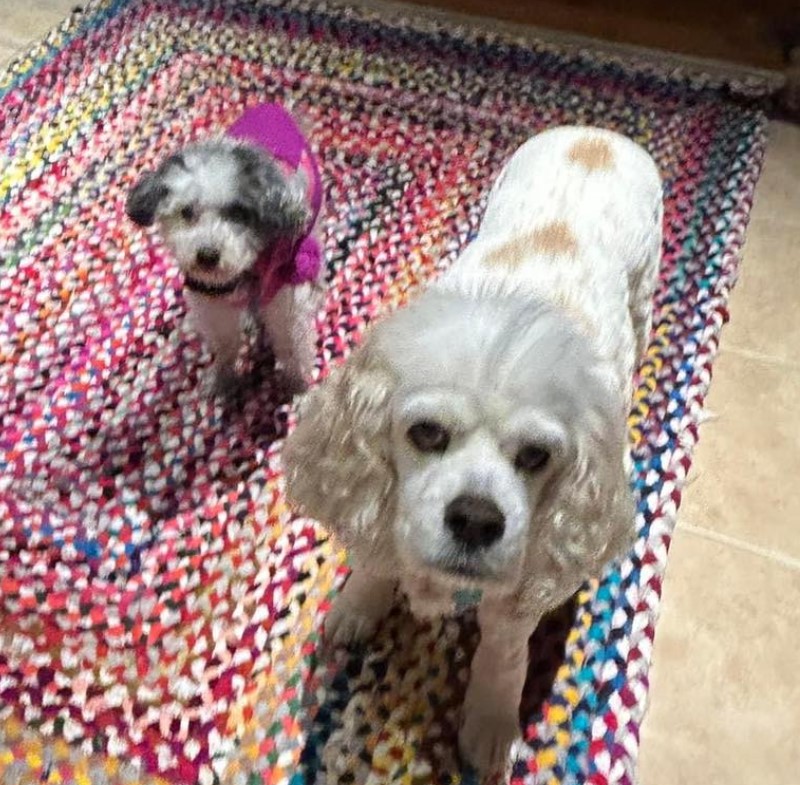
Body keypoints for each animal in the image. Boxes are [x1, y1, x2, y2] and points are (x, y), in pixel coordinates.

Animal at [126, 103, 324, 396]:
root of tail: (272, 106)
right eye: (187, 212)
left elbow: (291, 344)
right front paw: (222, 379)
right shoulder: (213, 299)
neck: (248, 270)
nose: (207, 256)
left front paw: (296, 387)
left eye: (239, 213)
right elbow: (225, 342)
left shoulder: (286, 293)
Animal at [284, 125, 660, 776]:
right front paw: (359, 605)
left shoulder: (520, 592)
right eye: (426, 433)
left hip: (644, 281)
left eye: (536, 455)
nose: (477, 520)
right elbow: (378, 558)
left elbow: (502, 658)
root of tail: (599, 136)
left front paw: (489, 728)